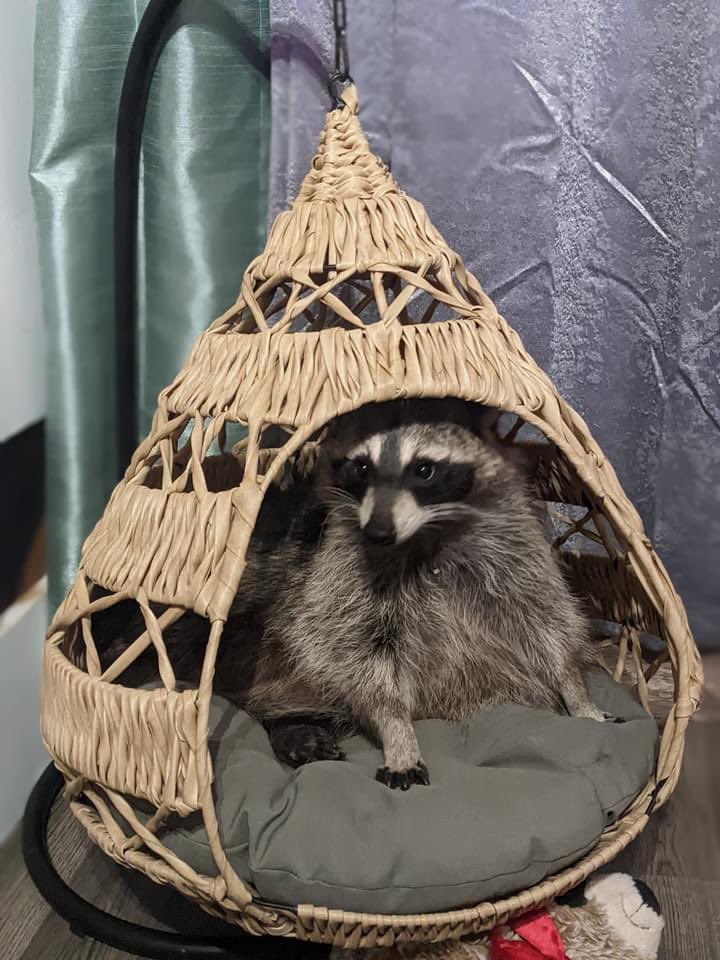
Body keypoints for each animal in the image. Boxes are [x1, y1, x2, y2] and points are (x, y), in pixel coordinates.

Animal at [227, 398, 604, 790]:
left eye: (424, 469)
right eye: (362, 467)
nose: (378, 531)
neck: (424, 532)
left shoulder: (515, 546)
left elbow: (547, 618)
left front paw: (575, 689)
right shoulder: (341, 575)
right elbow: (356, 651)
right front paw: (397, 730)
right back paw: (289, 722)